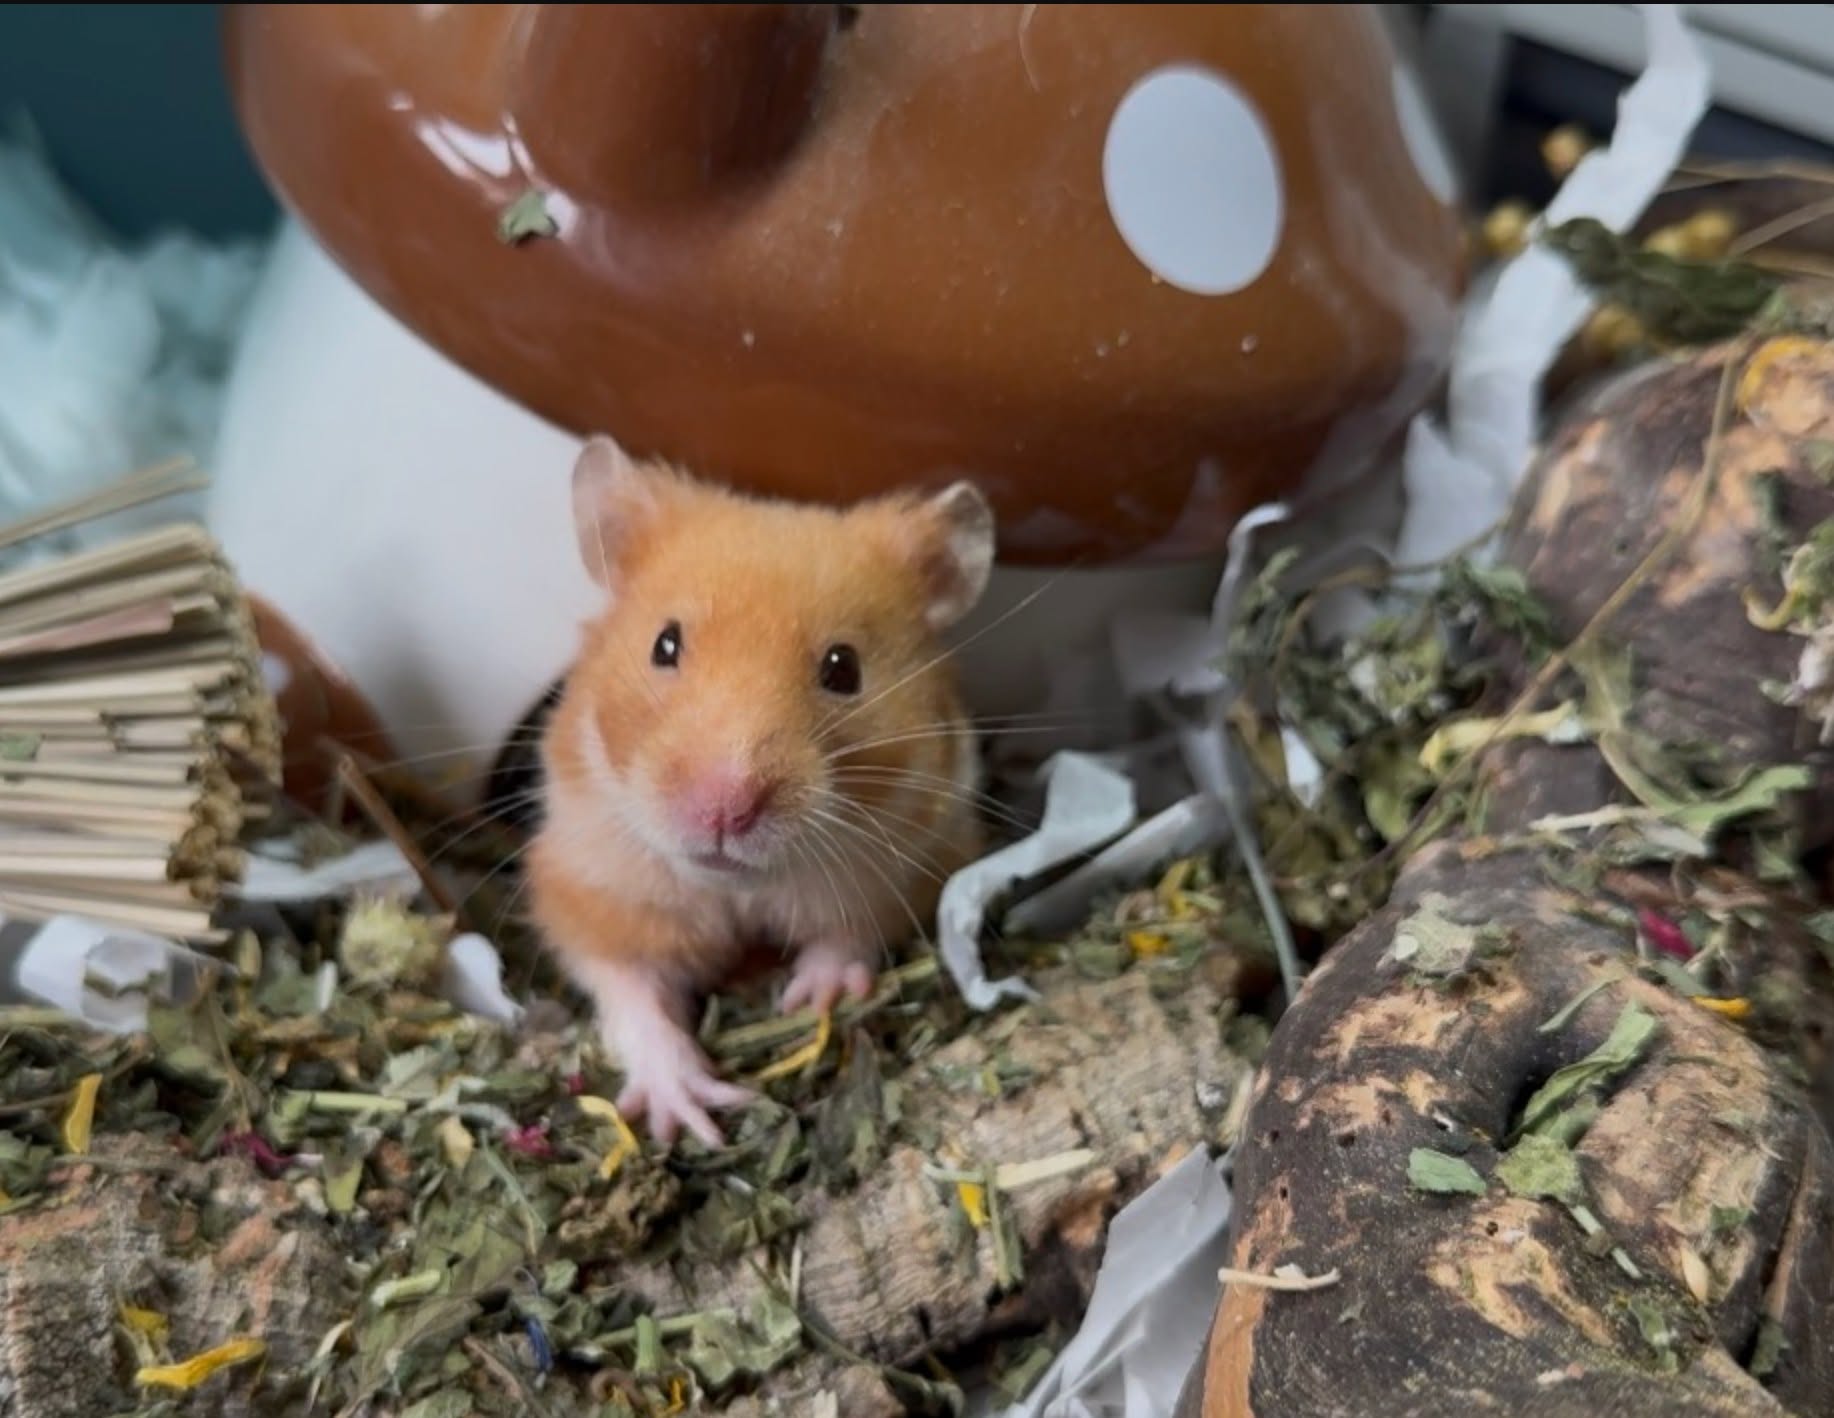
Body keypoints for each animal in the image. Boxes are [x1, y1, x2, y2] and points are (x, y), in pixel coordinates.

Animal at [528, 436, 995, 1147]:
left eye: (844, 668)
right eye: (666, 644)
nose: (724, 808)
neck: (738, 890)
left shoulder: (914, 857)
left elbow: (850, 932)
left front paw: (810, 1000)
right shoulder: (593, 886)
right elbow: (632, 993)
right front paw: (693, 1117)